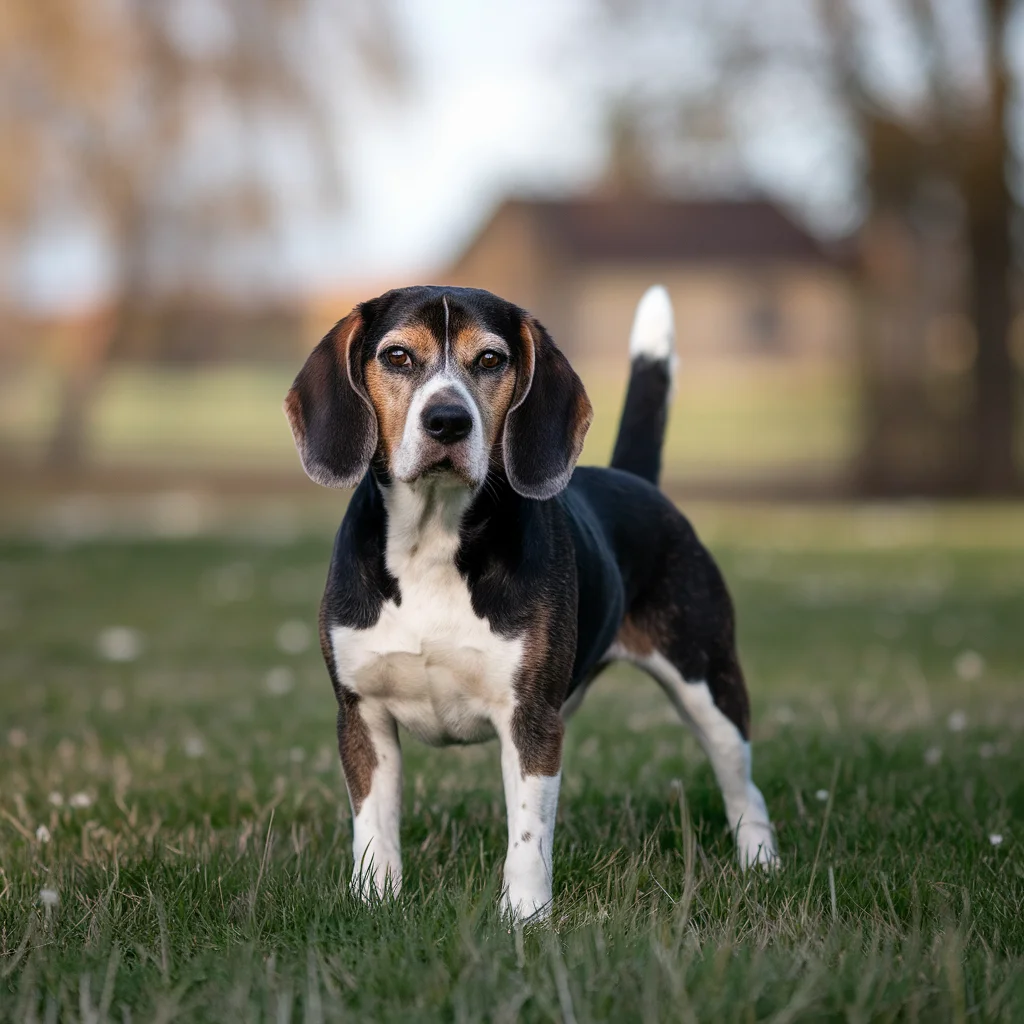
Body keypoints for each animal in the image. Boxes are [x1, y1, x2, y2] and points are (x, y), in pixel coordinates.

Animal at [282, 282, 774, 921]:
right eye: (397, 356)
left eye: (491, 359)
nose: (448, 420)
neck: (432, 541)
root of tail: (636, 481)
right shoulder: (361, 713)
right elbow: (375, 826)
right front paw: (373, 901)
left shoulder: (531, 719)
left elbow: (528, 835)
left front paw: (524, 916)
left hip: (707, 682)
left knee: (743, 785)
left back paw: (761, 864)